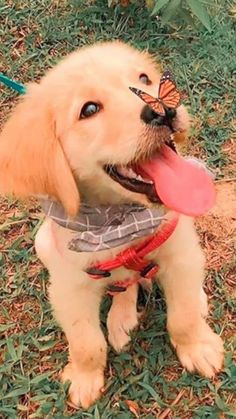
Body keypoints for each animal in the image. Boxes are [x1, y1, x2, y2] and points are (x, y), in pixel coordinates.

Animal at [0, 41, 223, 408]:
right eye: (89, 109)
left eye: (144, 78)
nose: (163, 111)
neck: (120, 222)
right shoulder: (69, 287)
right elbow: (86, 341)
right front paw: (84, 378)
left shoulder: (180, 253)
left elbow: (184, 315)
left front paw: (198, 347)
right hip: (43, 244)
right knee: (123, 284)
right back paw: (122, 317)